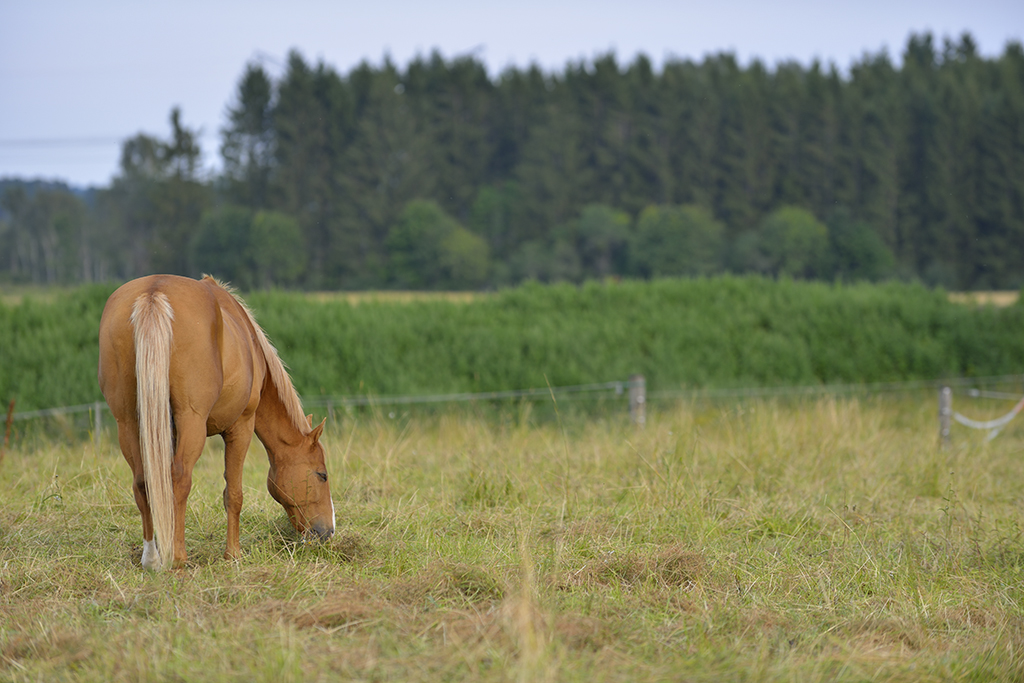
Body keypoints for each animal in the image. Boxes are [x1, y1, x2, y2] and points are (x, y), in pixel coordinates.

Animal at [98, 274, 334, 570]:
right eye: (322, 475)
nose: (328, 531)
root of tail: (154, 292)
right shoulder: (241, 426)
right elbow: (233, 494)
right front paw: (233, 555)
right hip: (192, 421)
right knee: (180, 478)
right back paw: (177, 558)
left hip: (128, 421)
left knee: (143, 481)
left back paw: (152, 558)